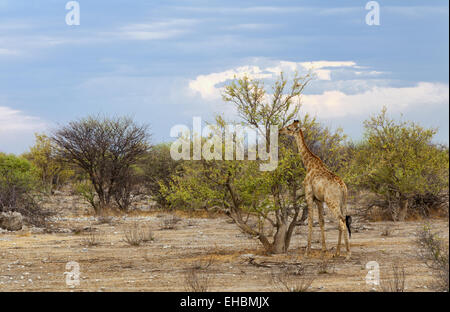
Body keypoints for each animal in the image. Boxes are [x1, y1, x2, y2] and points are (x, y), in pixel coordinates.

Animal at [282, 119, 352, 258]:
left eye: (289, 128)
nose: (280, 131)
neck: (308, 165)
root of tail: (343, 187)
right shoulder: (319, 200)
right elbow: (321, 221)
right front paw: (324, 250)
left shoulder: (309, 195)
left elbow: (310, 221)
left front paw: (307, 251)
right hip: (343, 203)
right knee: (342, 221)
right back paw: (337, 252)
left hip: (332, 202)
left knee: (341, 222)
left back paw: (347, 253)